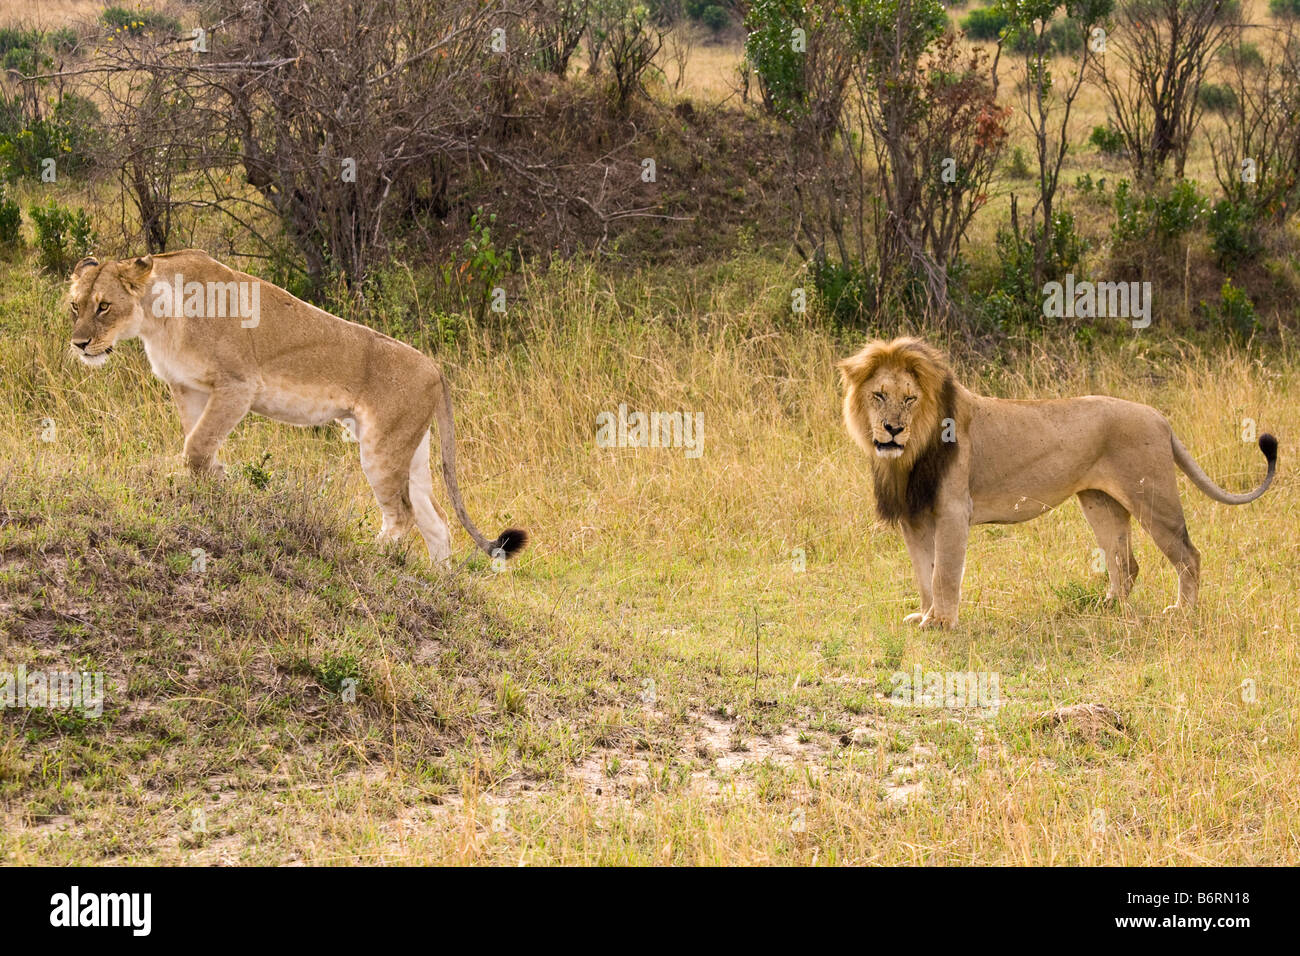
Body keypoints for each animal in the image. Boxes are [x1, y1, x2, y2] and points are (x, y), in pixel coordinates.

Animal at [67, 251, 526, 567]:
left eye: (104, 306)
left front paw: (216, 483)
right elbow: (198, 444)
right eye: (76, 306)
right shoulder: (188, 388)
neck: (155, 320)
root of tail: (435, 366)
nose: (79, 344)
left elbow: (196, 446)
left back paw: (367, 557)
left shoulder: (238, 386)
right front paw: (214, 485)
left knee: (403, 515)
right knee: (438, 523)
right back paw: (439, 585)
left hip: (382, 448)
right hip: (413, 452)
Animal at [838, 337, 1276, 628]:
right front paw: (926, 615)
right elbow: (923, 574)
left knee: (1189, 555)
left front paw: (941, 623)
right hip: (1099, 501)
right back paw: (1107, 607)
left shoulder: (953, 511)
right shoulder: (913, 517)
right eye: (879, 395)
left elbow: (943, 573)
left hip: (1153, 497)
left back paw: (1183, 612)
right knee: (1125, 563)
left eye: (910, 398)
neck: (908, 455)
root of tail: (1159, 416)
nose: (893, 430)